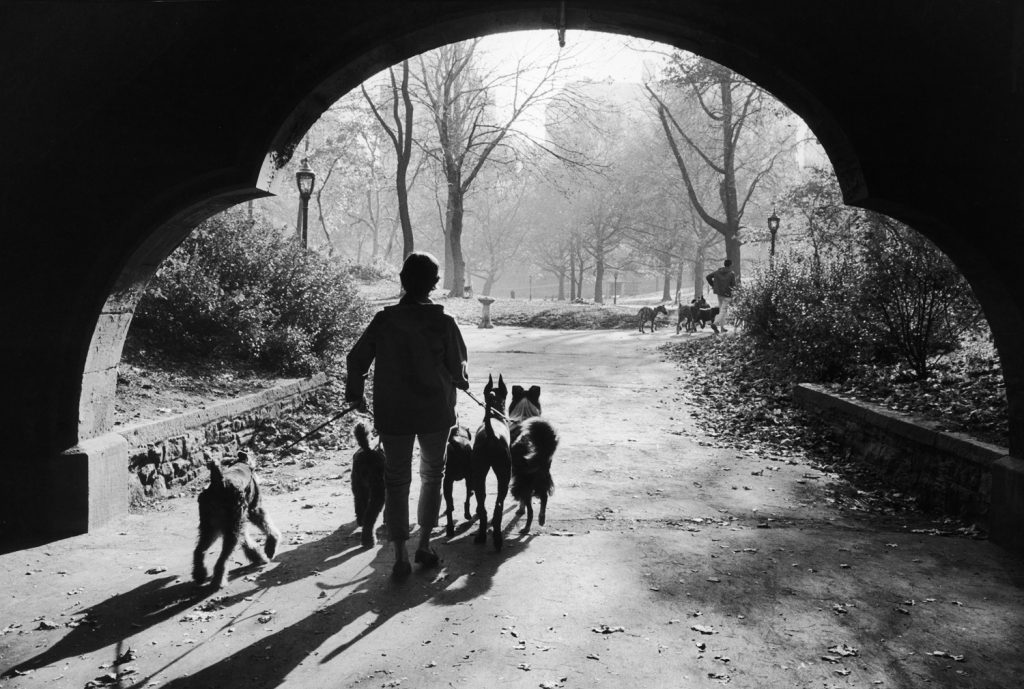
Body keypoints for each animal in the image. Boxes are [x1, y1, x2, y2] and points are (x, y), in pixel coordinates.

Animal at [191, 448, 280, 589]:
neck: (241, 464)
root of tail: (219, 484)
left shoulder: (242, 519)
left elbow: (246, 540)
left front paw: (257, 556)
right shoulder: (254, 510)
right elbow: (268, 526)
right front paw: (269, 549)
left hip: (210, 527)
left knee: (199, 551)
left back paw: (200, 575)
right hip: (229, 528)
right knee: (222, 559)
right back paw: (218, 582)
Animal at [505, 384, 557, 536]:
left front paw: (520, 510)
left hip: (525, 482)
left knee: (531, 510)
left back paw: (526, 528)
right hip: (543, 478)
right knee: (544, 499)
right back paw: (541, 520)